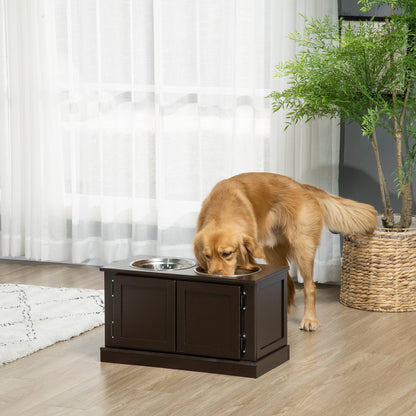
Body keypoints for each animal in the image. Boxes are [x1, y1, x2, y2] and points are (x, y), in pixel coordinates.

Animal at [193, 172, 378, 332]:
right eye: (207, 256)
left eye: (227, 254)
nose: (215, 276)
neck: (221, 210)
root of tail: (303, 186)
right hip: (272, 252)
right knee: (288, 281)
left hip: (302, 247)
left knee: (310, 286)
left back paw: (309, 320)